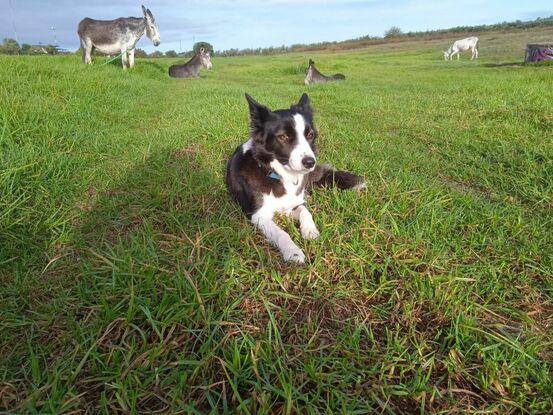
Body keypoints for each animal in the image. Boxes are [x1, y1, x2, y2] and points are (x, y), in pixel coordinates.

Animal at [224, 93, 362, 264]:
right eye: (283, 136)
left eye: (310, 135)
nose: (310, 162)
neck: (280, 174)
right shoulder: (259, 215)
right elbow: (281, 233)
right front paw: (293, 252)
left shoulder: (293, 204)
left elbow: (305, 211)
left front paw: (310, 231)